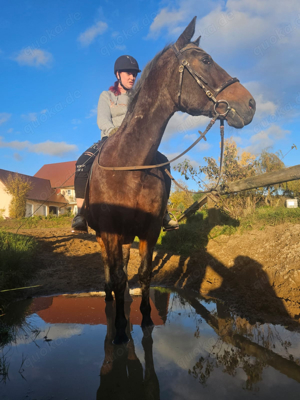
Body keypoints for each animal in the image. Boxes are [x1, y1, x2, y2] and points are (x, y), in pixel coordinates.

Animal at [86, 15, 255, 344]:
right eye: (206, 60)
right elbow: (116, 276)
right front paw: (120, 329)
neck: (131, 166)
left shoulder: (149, 231)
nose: (251, 104)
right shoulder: (110, 233)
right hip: (103, 236)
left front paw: (144, 320)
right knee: (109, 271)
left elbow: (143, 275)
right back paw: (111, 302)